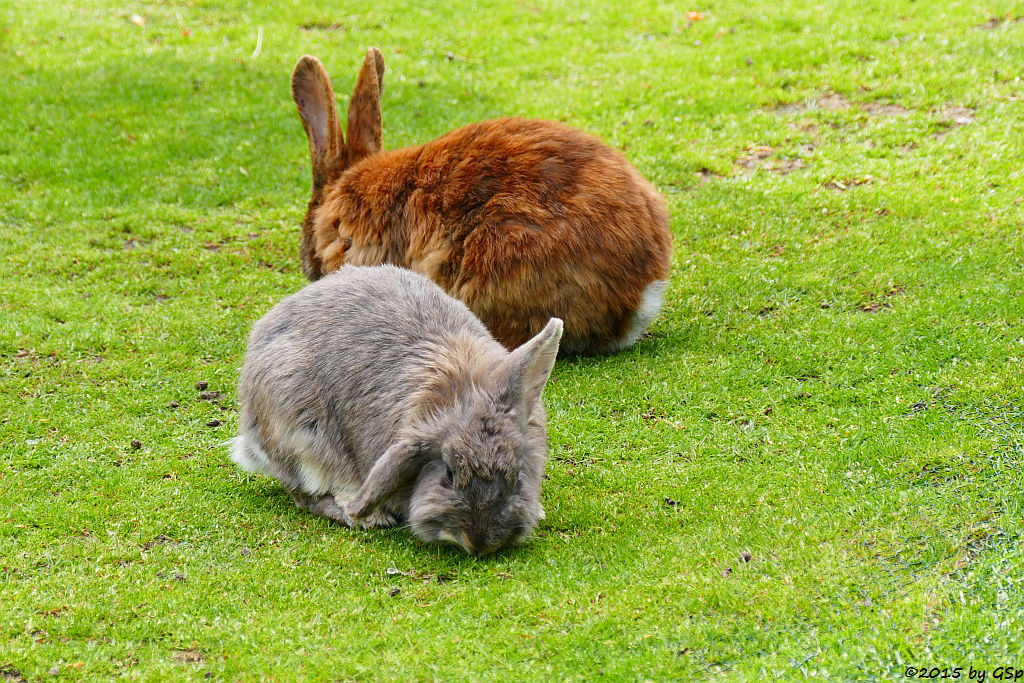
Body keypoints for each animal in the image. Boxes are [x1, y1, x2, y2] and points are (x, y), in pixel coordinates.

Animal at [232, 264, 565, 557]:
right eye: (448, 473)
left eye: (516, 474)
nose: (480, 544)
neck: (459, 393)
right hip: (301, 437)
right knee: (305, 494)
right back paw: (365, 516)